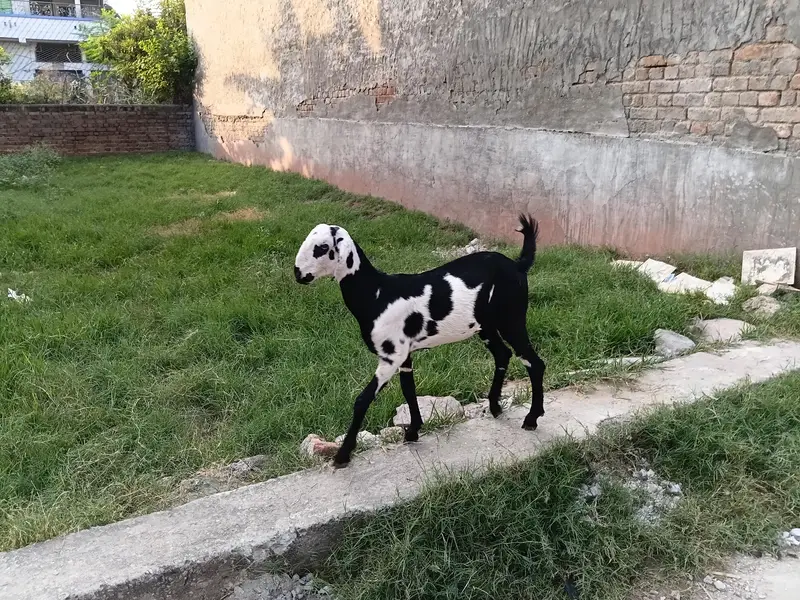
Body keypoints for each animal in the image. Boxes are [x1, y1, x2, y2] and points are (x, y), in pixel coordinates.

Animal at [294, 215, 545, 468]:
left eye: (322, 248)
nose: (298, 274)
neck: (376, 294)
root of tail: (518, 265)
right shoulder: (404, 354)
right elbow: (408, 390)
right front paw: (413, 431)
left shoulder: (391, 356)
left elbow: (362, 400)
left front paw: (343, 455)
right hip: (487, 326)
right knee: (503, 354)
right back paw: (494, 407)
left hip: (511, 319)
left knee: (534, 363)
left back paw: (531, 419)